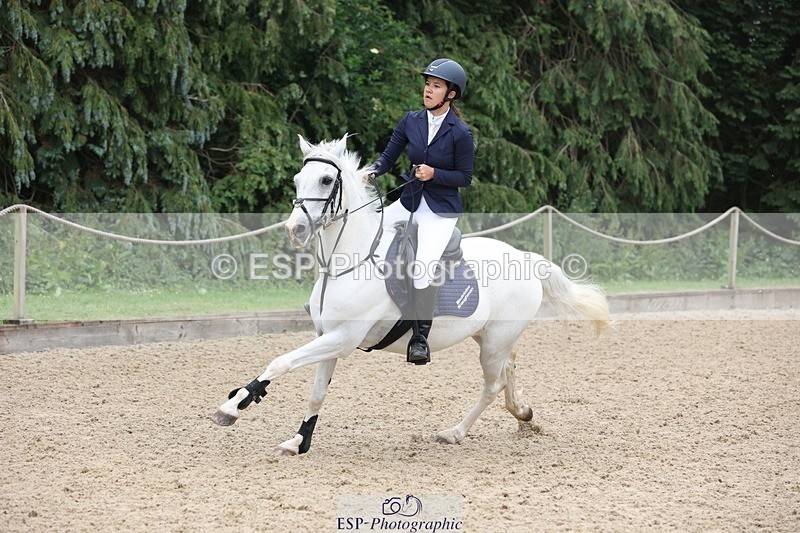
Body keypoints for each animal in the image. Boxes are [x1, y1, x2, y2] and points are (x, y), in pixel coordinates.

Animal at [212, 134, 612, 455]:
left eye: (326, 180)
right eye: (298, 179)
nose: (294, 230)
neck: (351, 260)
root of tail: (527, 258)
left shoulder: (342, 338)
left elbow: (280, 362)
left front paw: (232, 407)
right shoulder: (329, 337)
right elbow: (316, 392)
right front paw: (298, 441)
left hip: (495, 342)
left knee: (493, 384)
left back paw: (455, 433)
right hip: (488, 337)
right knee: (509, 367)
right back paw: (523, 414)